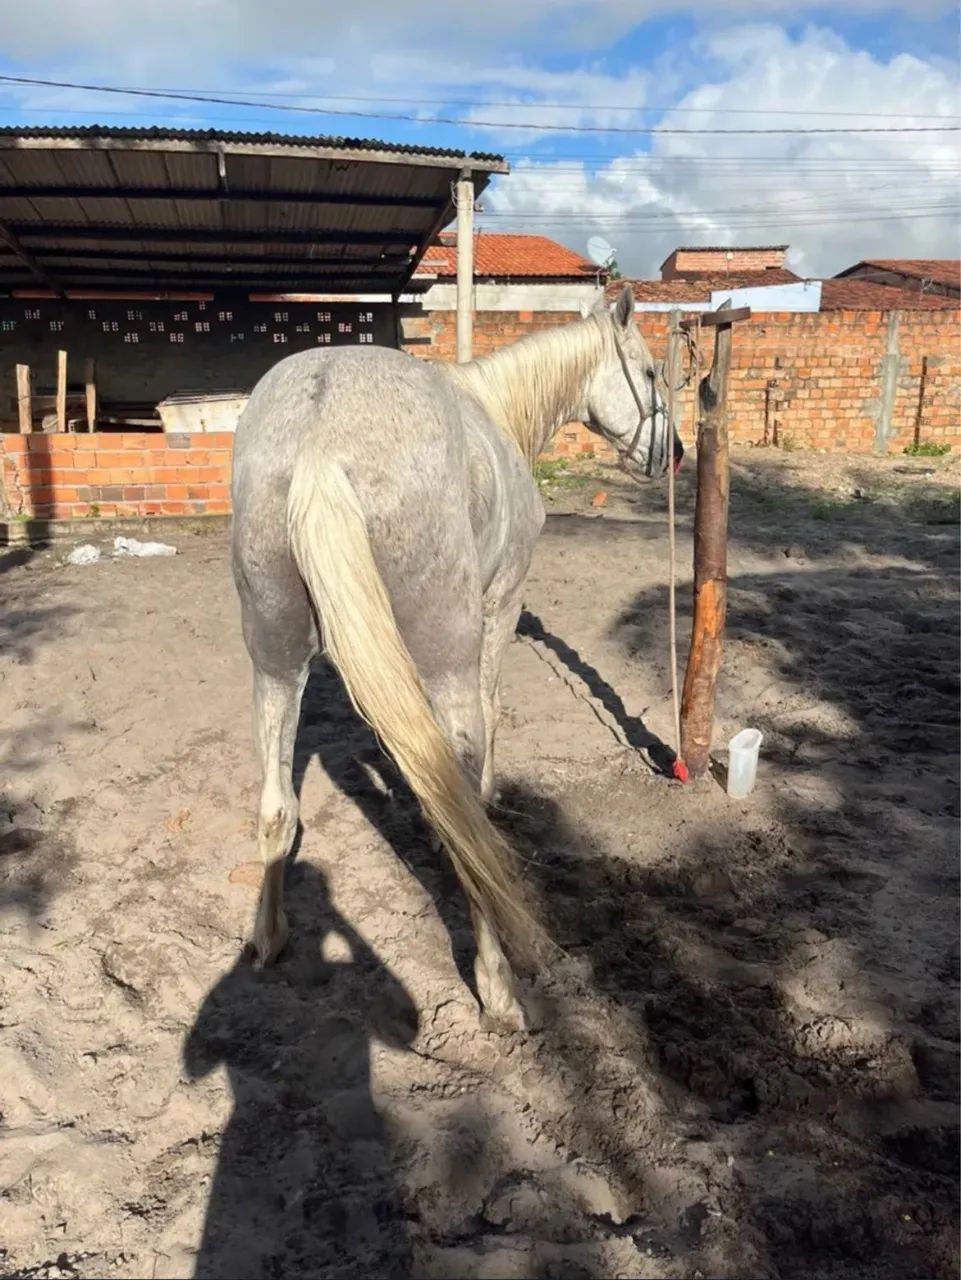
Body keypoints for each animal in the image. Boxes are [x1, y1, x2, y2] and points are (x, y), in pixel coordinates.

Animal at [230, 284, 682, 1033]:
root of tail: (319, 441)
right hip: (447, 655)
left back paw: (268, 940)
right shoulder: (501, 606)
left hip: (275, 661)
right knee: (458, 808)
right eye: (648, 372)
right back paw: (500, 989)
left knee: (275, 808)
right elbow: (489, 719)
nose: (671, 454)